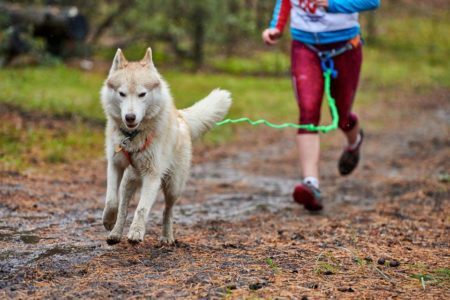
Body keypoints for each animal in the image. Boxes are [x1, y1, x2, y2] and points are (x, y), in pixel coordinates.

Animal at [99, 48, 232, 245]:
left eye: (142, 94)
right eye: (122, 93)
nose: (130, 117)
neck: (133, 136)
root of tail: (181, 117)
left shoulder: (152, 176)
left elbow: (141, 209)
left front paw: (136, 232)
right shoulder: (115, 165)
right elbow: (111, 201)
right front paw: (109, 220)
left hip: (173, 186)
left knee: (167, 211)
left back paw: (167, 237)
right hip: (129, 182)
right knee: (123, 206)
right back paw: (115, 232)